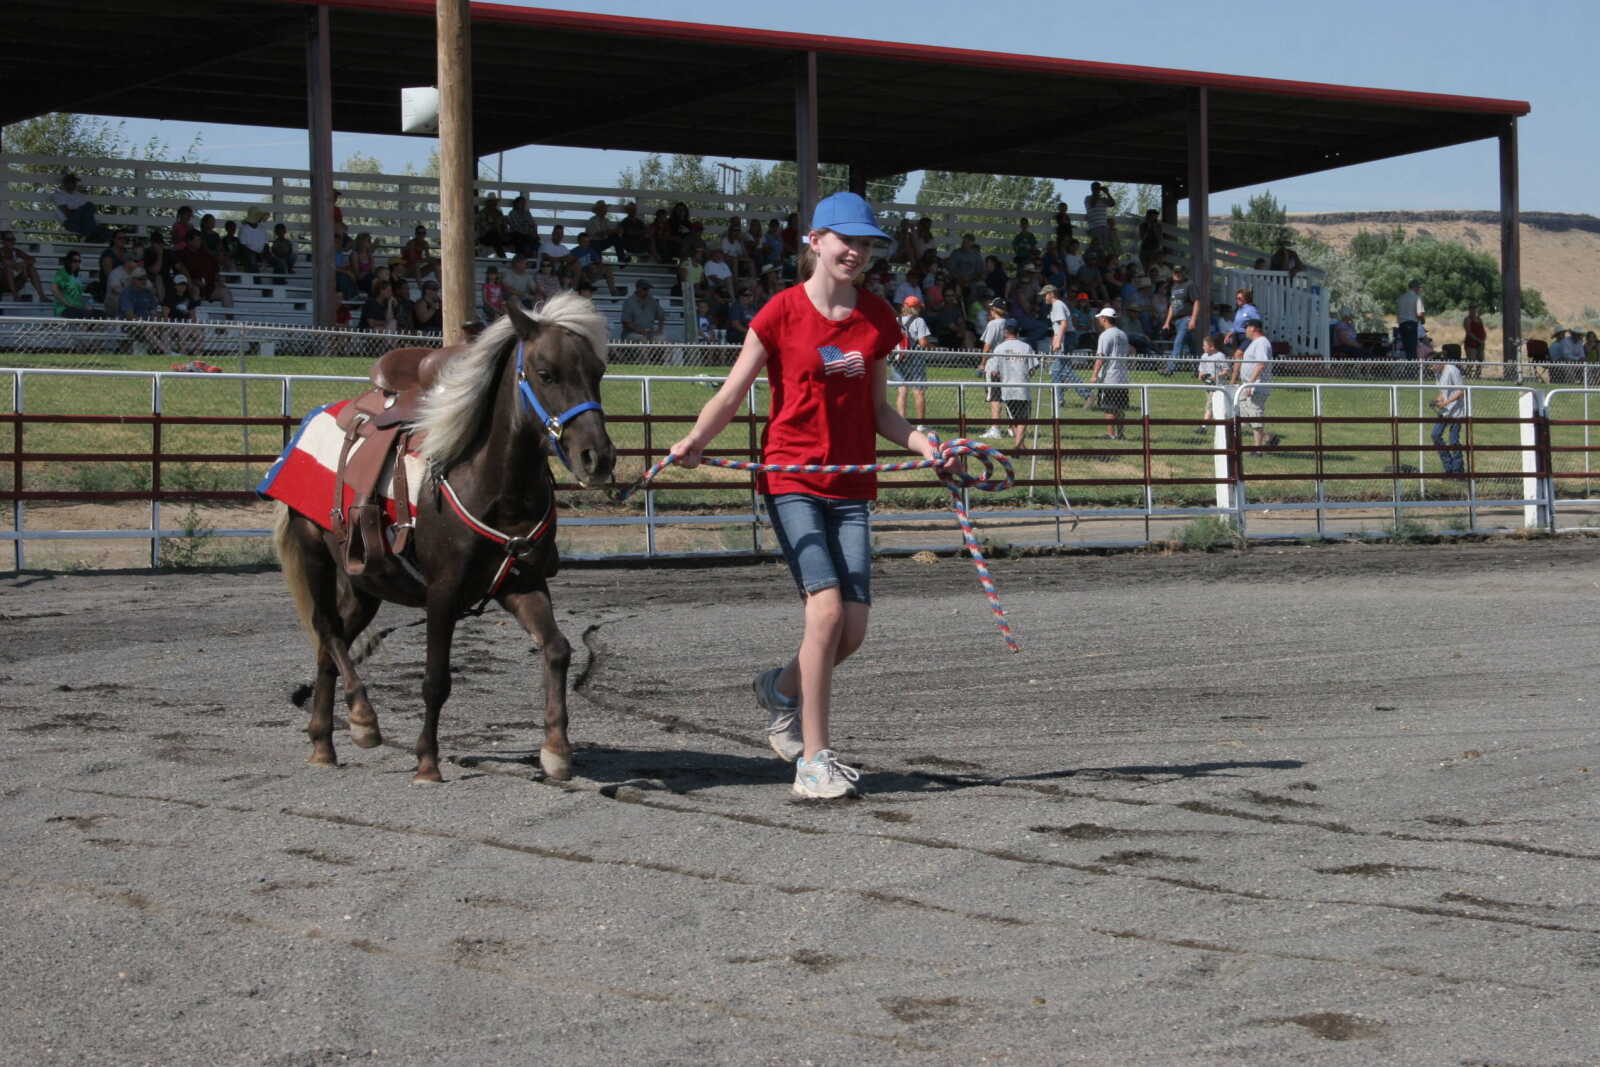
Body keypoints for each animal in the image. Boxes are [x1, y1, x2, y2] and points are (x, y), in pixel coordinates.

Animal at [272, 292, 615, 783]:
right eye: (546, 372)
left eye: (598, 371)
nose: (597, 458)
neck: (493, 484)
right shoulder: (443, 592)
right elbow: (436, 678)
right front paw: (427, 762)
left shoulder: (522, 583)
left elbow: (557, 649)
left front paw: (556, 750)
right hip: (314, 552)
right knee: (328, 629)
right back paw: (363, 718)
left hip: (365, 583)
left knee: (329, 645)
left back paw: (324, 741)